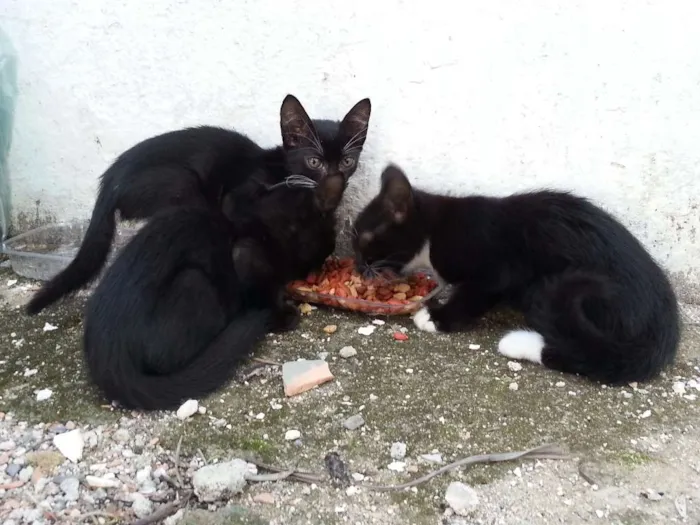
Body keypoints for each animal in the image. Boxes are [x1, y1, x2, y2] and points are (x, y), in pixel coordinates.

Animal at [28, 93, 372, 316]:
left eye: (346, 161)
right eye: (314, 161)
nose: (335, 179)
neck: (283, 169)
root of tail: (109, 179)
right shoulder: (239, 197)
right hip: (181, 184)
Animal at [352, 165, 680, 384]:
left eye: (364, 239)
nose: (356, 265)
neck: (435, 231)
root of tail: (663, 330)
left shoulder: (497, 269)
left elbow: (473, 295)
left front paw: (436, 317)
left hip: (561, 288)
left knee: (584, 352)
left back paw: (519, 344)